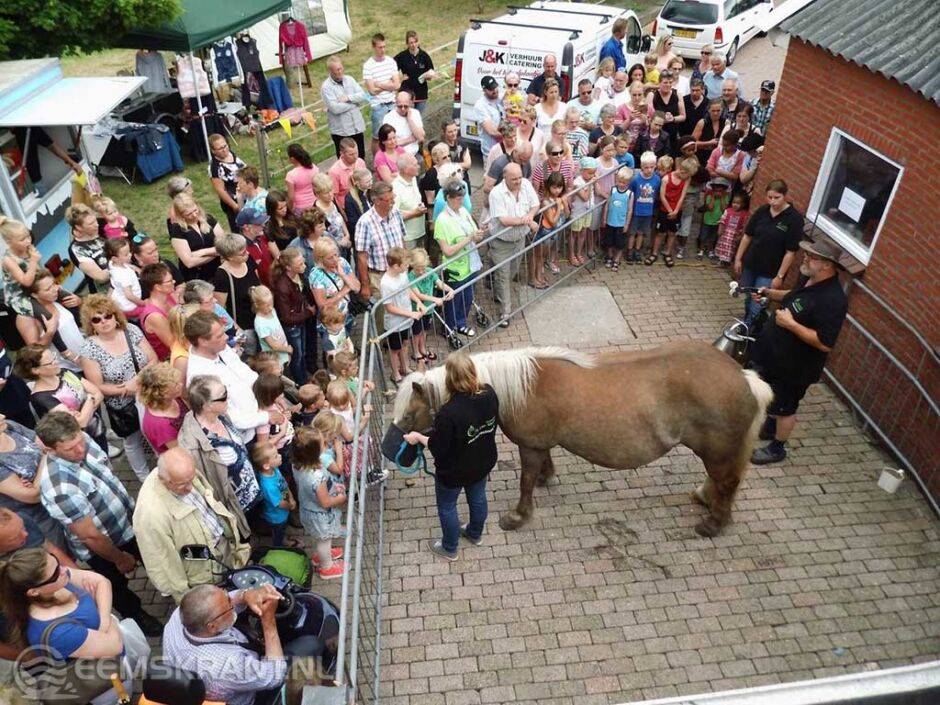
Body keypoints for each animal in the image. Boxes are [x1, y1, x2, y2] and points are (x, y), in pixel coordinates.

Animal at [388, 340, 772, 532]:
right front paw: (548, 478)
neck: (521, 386)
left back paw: (713, 523)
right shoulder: (540, 443)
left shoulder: (529, 445)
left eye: (408, 414)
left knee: (727, 483)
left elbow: (526, 480)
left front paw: (519, 516)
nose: (388, 451)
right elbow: (543, 466)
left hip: (717, 452)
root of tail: (744, 377)